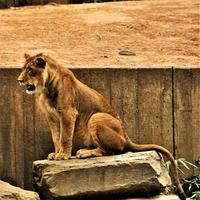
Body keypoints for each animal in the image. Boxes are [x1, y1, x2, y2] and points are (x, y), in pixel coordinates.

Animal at [17, 53, 186, 200]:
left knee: (111, 151)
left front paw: (63, 155)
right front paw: (56, 153)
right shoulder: (52, 117)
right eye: (23, 68)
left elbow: (65, 137)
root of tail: (126, 136)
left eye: (30, 69)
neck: (45, 88)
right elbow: (56, 137)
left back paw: (85, 152)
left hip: (96, 117)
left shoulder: (68, 113)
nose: (19, 80)